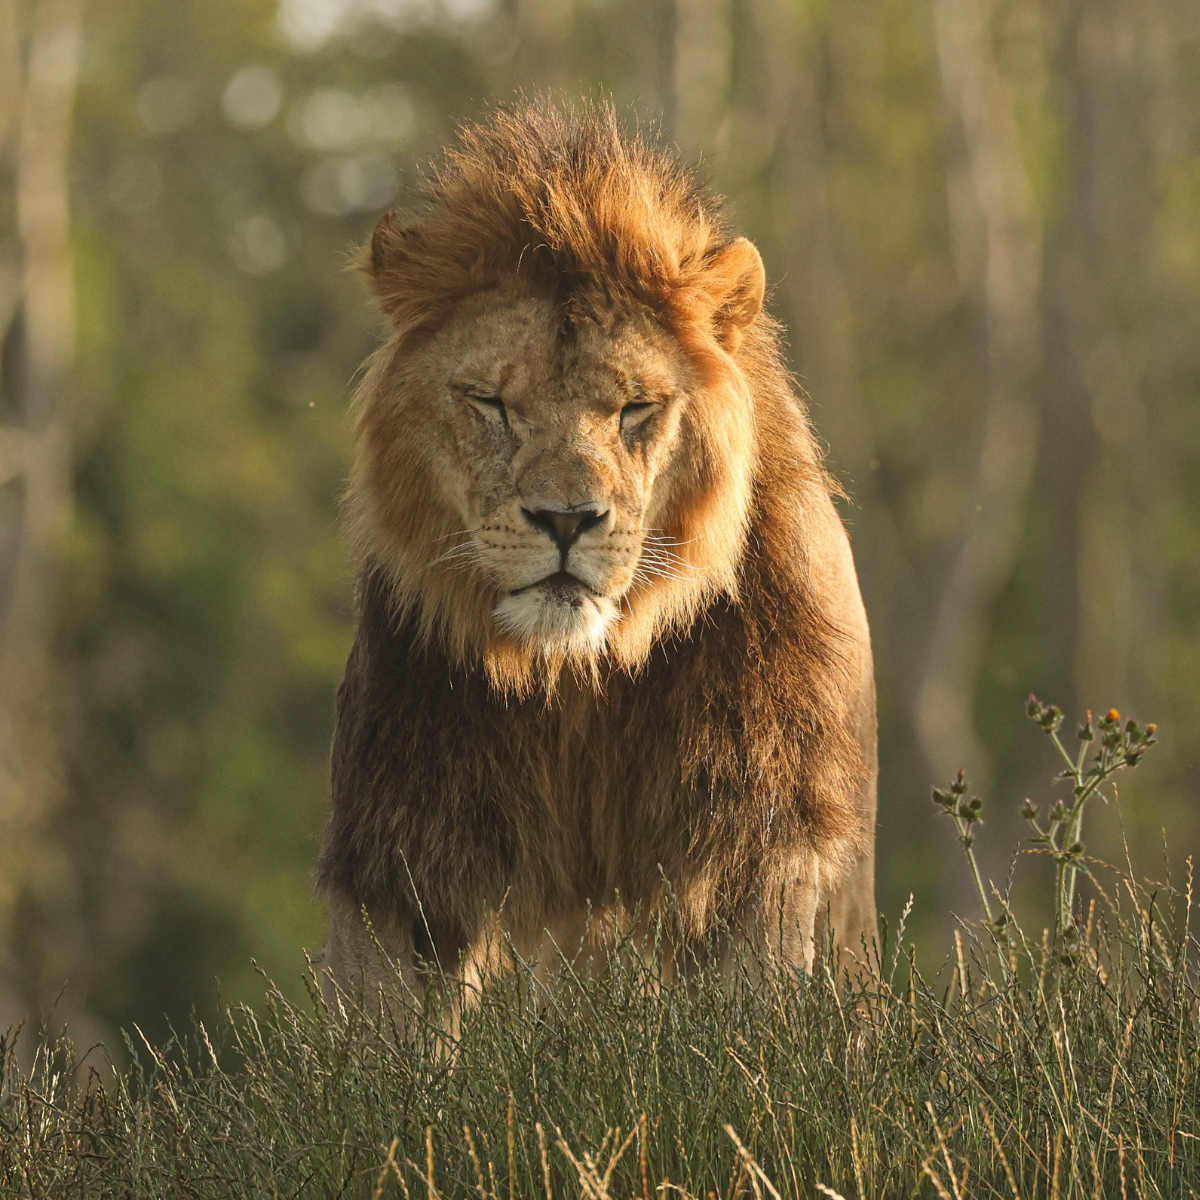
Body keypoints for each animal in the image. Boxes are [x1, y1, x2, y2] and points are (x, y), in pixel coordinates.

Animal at [316, 100, 877, 1014]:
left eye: (635, 408)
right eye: (490, 402)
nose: (566, 519)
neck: (578, 682)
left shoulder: (758, 840)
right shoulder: (400, 851)